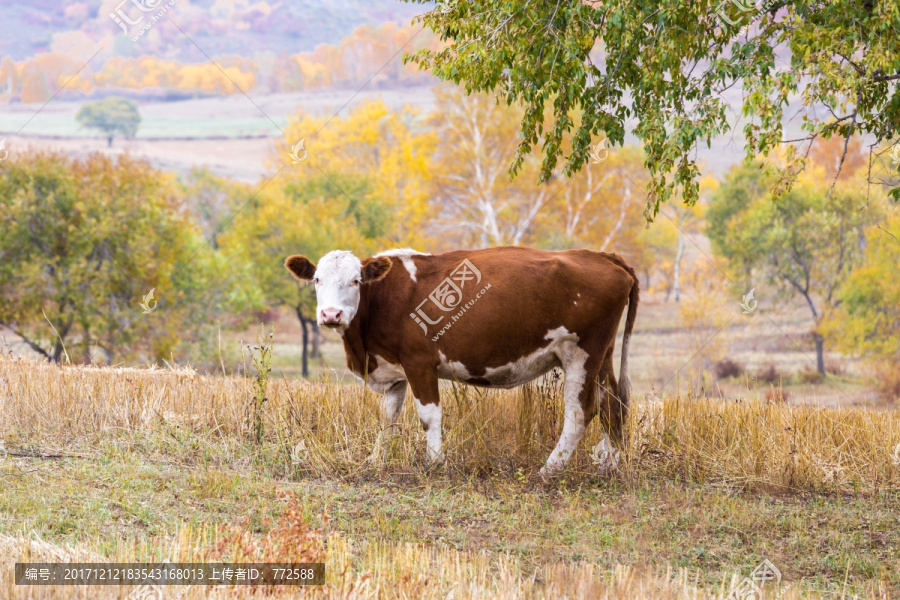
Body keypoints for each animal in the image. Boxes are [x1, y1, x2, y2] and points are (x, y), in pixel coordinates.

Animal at [284, 246, 636, 476]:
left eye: (356, 280)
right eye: (317, 280)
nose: (331, 315)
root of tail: (603, 256)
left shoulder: (419, 363)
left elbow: (429, 417)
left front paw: (434, 462)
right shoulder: (393, 370)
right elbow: (389, 419)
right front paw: (375, 460)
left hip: (582, 353)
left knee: (580, 412)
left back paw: (550, 469)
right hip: (602, 356)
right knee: (613, 403)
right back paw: (610, 464)